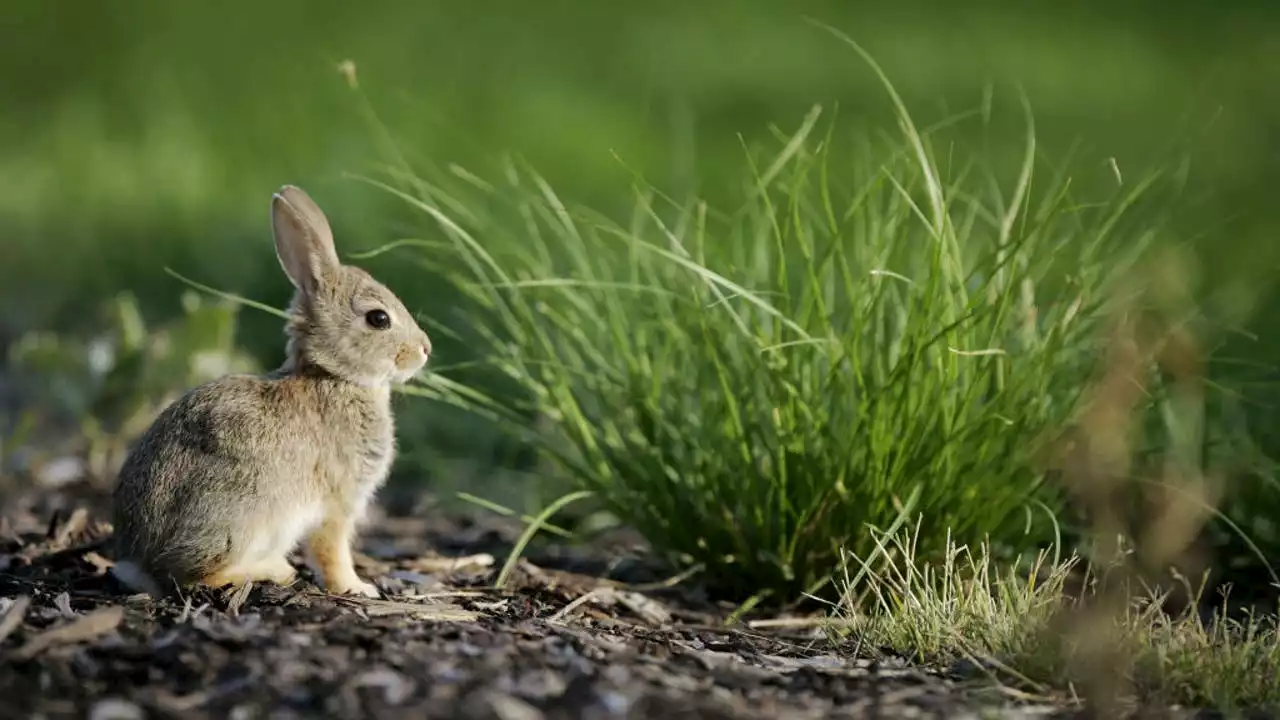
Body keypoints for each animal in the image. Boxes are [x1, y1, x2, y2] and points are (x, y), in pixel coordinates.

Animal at [111, 183, 430, 594]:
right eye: (379, 319)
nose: (425, 349)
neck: (334, 376)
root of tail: (140, 564)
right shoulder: (336, 503)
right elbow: (333, 552)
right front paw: (358, 588)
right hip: (242, 517)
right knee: (194, 574)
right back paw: (272, 570)